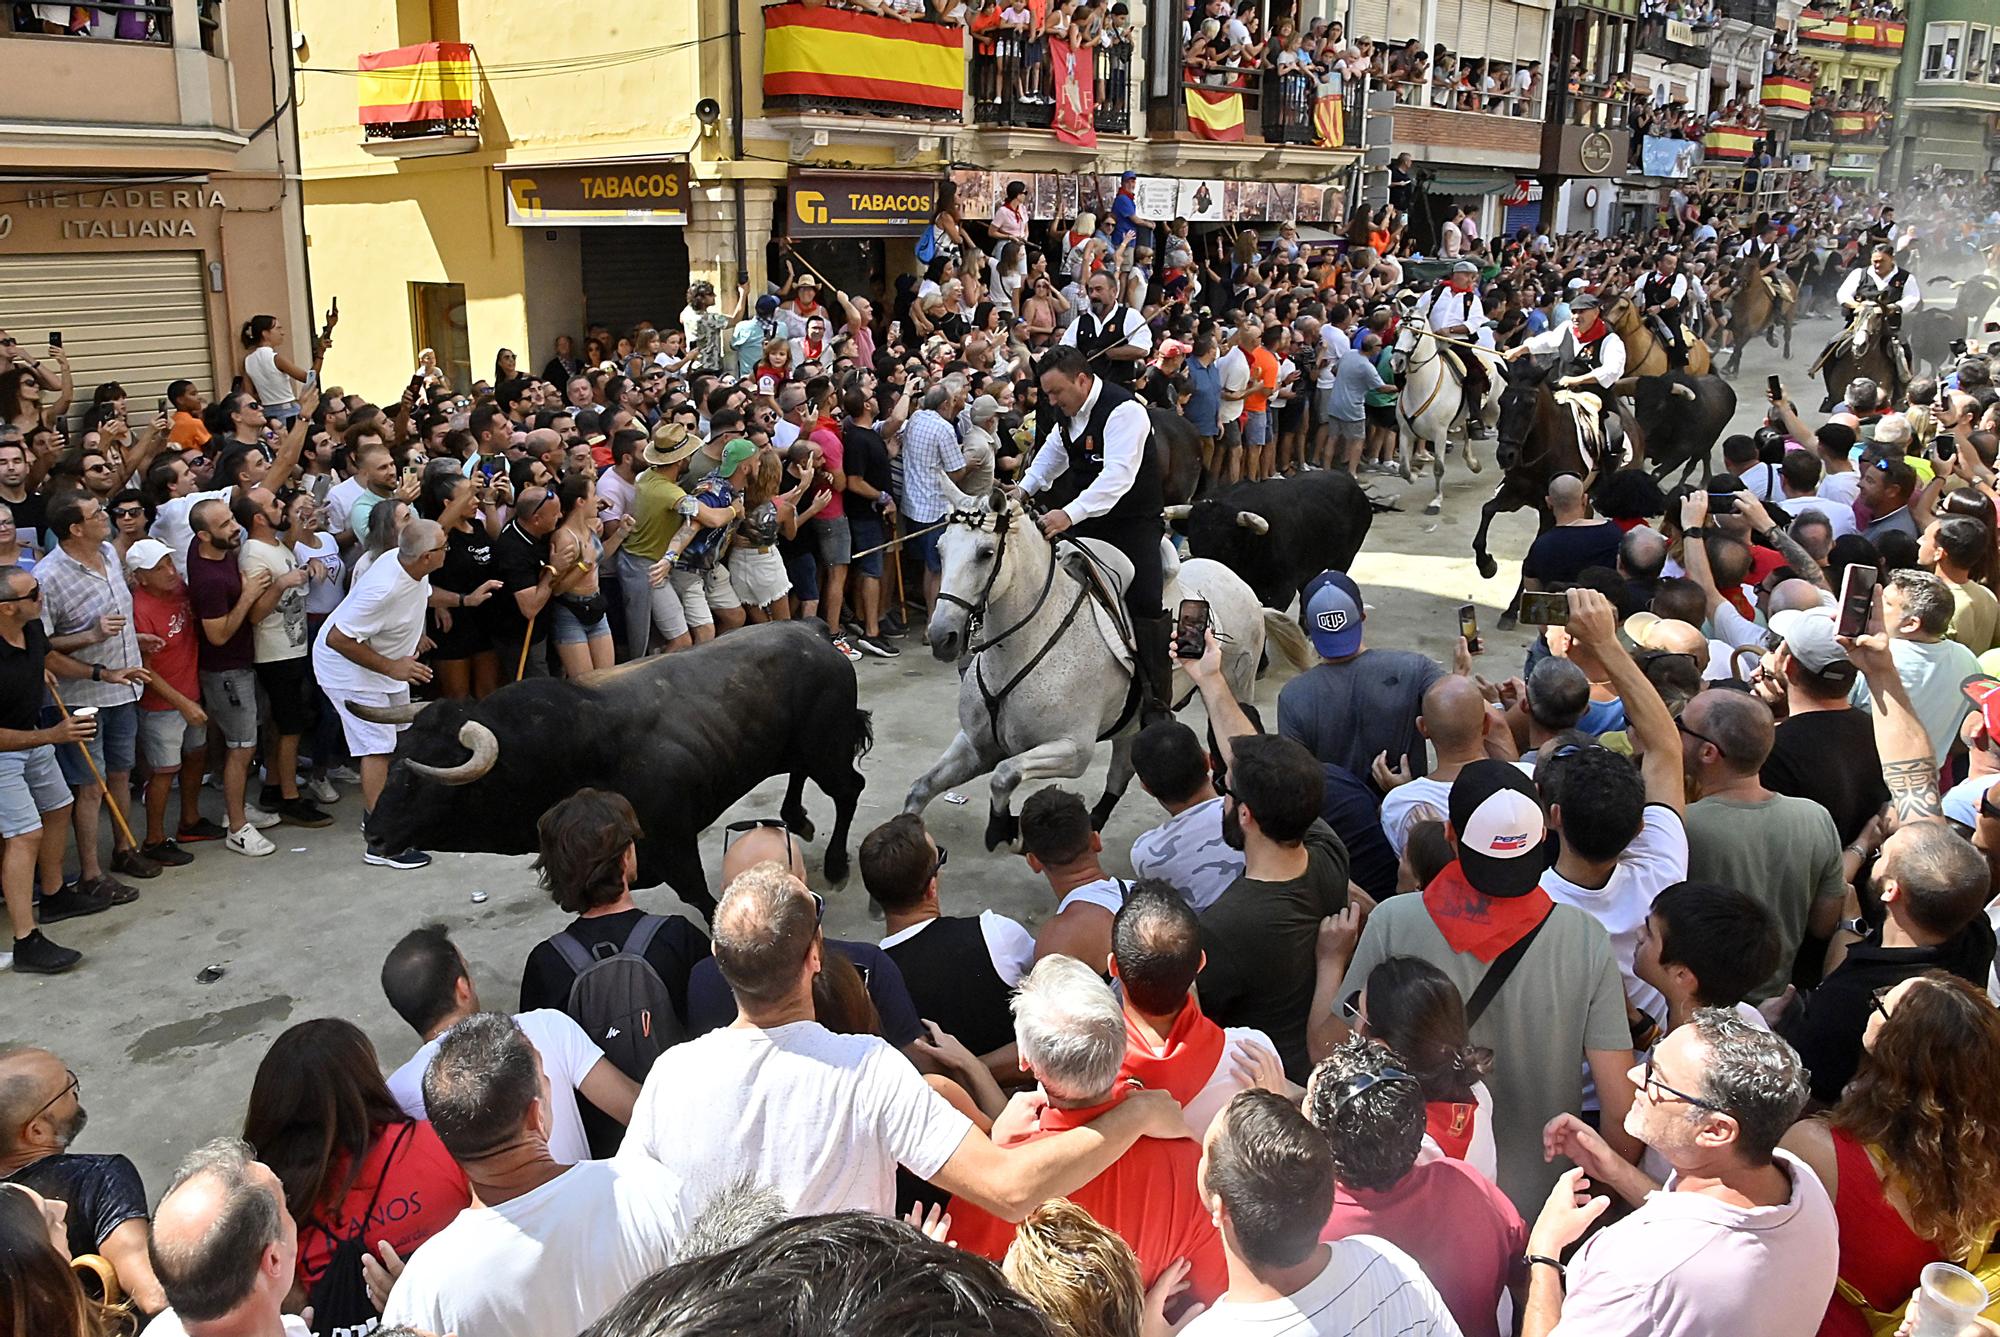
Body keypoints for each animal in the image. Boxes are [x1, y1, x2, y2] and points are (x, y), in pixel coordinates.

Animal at [356, 624, 872, 920]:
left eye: (425, 778)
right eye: (397, 759)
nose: (374, 836)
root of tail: (817, 637)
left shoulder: (674, 841)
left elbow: (699, 897)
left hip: (827, 749)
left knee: (849, 789)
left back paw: (836, 864)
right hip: (803, 749)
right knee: (803, 777)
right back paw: (796, 819)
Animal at [904, 488, 1312, 844]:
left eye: (986, 553)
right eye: (940, 549)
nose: (942, 636)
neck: (1021, 647)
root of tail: (1240, 584)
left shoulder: (1072, 750)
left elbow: (1004, 775)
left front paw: (1003, 828)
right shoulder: (977, 745)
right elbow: (921, 788)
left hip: (1235, 685)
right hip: (1131, 724)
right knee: (1121, 770)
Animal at [1392, 306, 1504, 520]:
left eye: (1416, 332)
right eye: (1397, 330)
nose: (1397, 362)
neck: (1422, 386)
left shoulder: (1440, 433)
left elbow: (1438, 468)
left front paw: (1435, 502)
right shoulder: (1405, 431)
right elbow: (1403, 468)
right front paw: (1415, 473)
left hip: (1495, 408)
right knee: (1469, 432)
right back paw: (1473, 463)